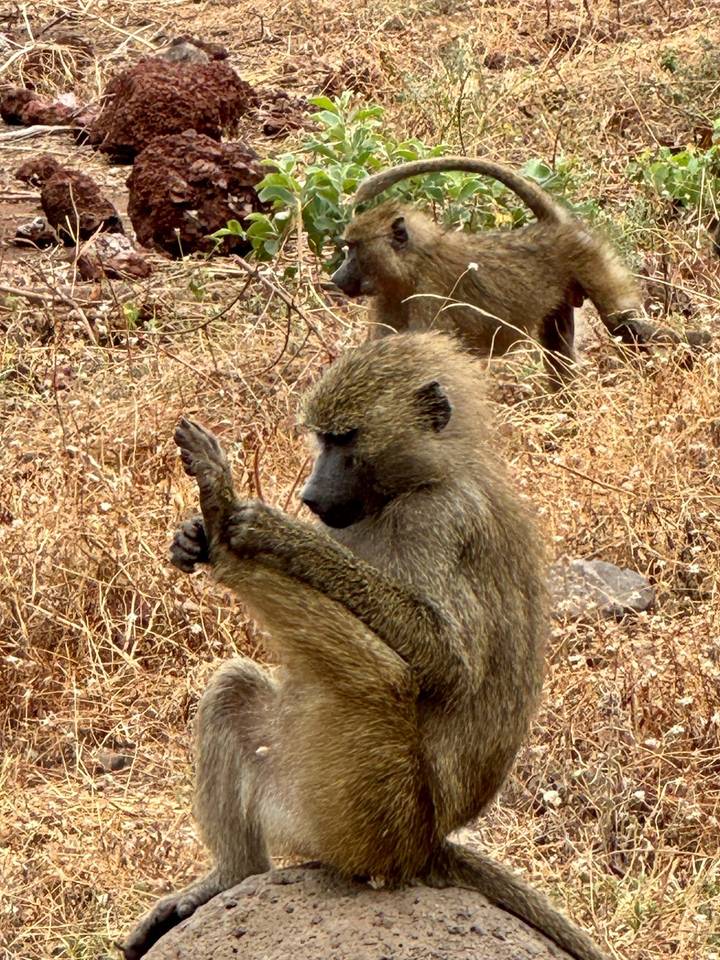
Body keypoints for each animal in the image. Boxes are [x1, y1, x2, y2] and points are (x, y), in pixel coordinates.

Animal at [121, 333, 611, 960]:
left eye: (345, 439)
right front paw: (192, 539)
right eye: (322, 439)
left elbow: (447, 663)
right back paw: (229, 878)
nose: (310, 494)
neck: (419, 481)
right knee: (235, 688)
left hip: (379, 815)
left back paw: (224, 518)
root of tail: (429, 844)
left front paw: (276, 532)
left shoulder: (441, 520)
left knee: (378, 681)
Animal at [331, 157, 710, 386]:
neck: (411, 265)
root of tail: (553, 225)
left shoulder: (430, 295)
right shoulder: (387, 296)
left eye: (353, 249)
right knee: (562, 349)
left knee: (627, 326)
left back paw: (704, 342)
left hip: (590, 259)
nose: (335, 279)